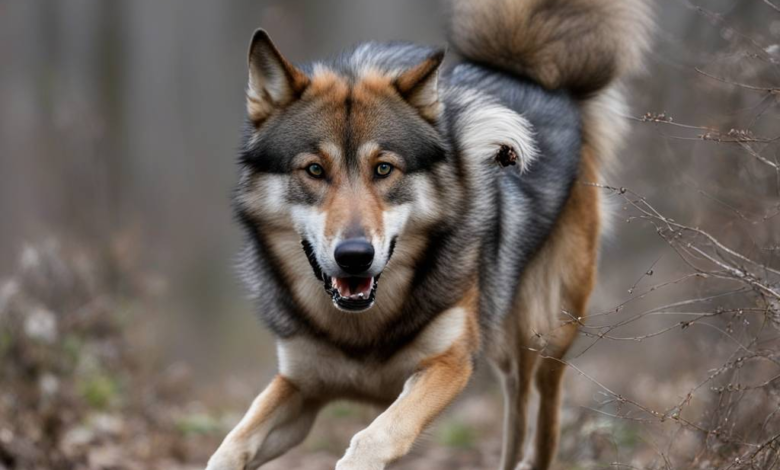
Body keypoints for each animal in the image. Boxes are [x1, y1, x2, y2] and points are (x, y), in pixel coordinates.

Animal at [206, 0, 652, 469]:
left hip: (543, 333)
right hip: (506, 350)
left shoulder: (449, 363)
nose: (354, 255)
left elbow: (374, 437)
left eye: (384, 168)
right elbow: (230, 445)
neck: (361, 328)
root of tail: (533, 74)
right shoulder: (300, 385)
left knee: (543, 419)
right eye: (314, 169)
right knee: (517, 410)